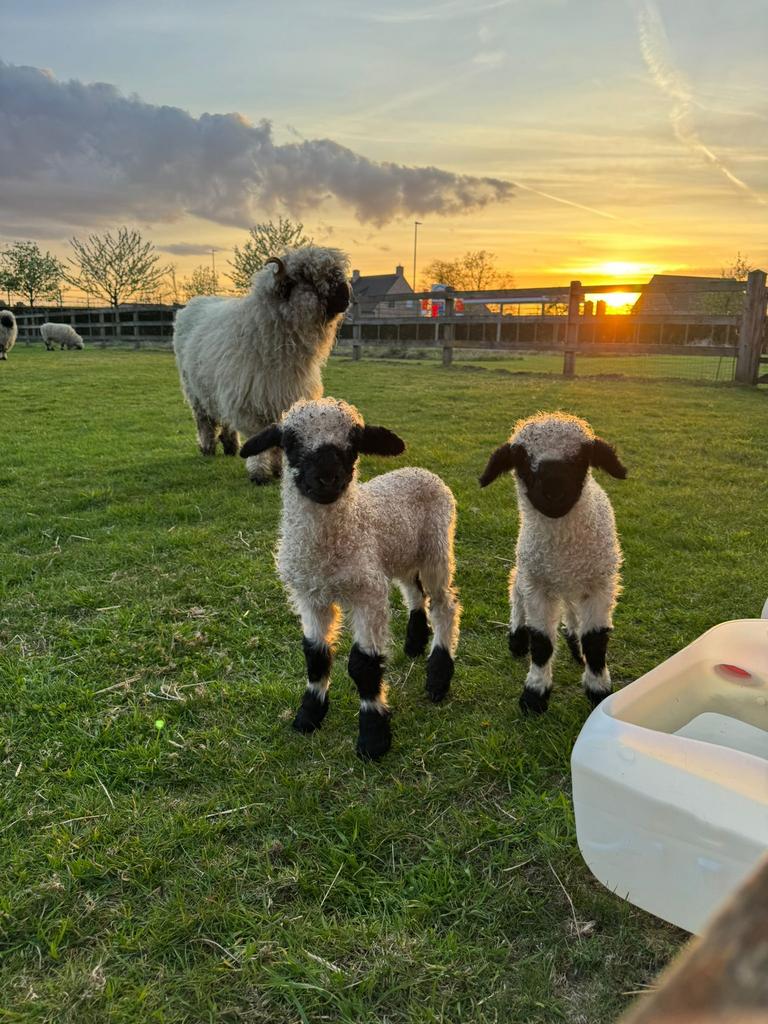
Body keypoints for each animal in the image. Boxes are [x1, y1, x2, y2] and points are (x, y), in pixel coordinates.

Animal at [173, 246, 351, 483]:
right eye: (309, 278)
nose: (346, 296)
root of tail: (194, 303)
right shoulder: (249, 401)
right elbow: (258, 441)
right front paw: (259, 474)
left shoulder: (284, 398)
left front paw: (278, 471)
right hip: (196, 392)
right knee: (205, 422)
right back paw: (207, 448)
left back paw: (230, 446)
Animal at [241, 397, 461, 759]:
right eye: (290, 442)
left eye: (354, 443)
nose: (327, 478)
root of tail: (419, 470)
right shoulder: (310, 596)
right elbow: (315, 656)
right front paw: (309, 715)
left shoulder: (366, 593)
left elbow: (363, 665)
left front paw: (373, 736)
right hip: (399, 552)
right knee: (414, 593)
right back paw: (415, 643)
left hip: (436, 548)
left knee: (444, 604)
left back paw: (438, 677)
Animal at [479, 411, 627, 713]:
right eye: (521, 460)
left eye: (582, 458)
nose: (554, 492)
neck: (563, 548)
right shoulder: (537, 584)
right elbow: (542, 641)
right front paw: (535, 694)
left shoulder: (600, 584)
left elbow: (595, 640)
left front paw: (598, 689)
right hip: (526, 566)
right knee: (515, 592)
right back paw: (517, 637)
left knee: (571, 610)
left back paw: (574, 642)